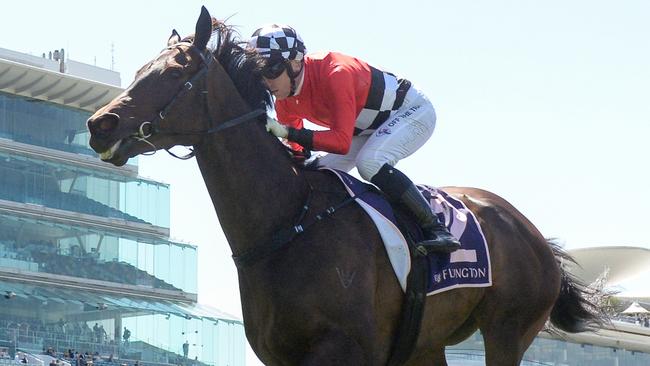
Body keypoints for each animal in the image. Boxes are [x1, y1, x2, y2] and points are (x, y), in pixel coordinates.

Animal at [87, 6, 604, 366]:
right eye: (140, 71)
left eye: (174, 73)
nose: (99, 125)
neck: (289, 220)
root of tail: (529, 230)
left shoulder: (345, 348)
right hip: (427, 344)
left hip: (508, 330)